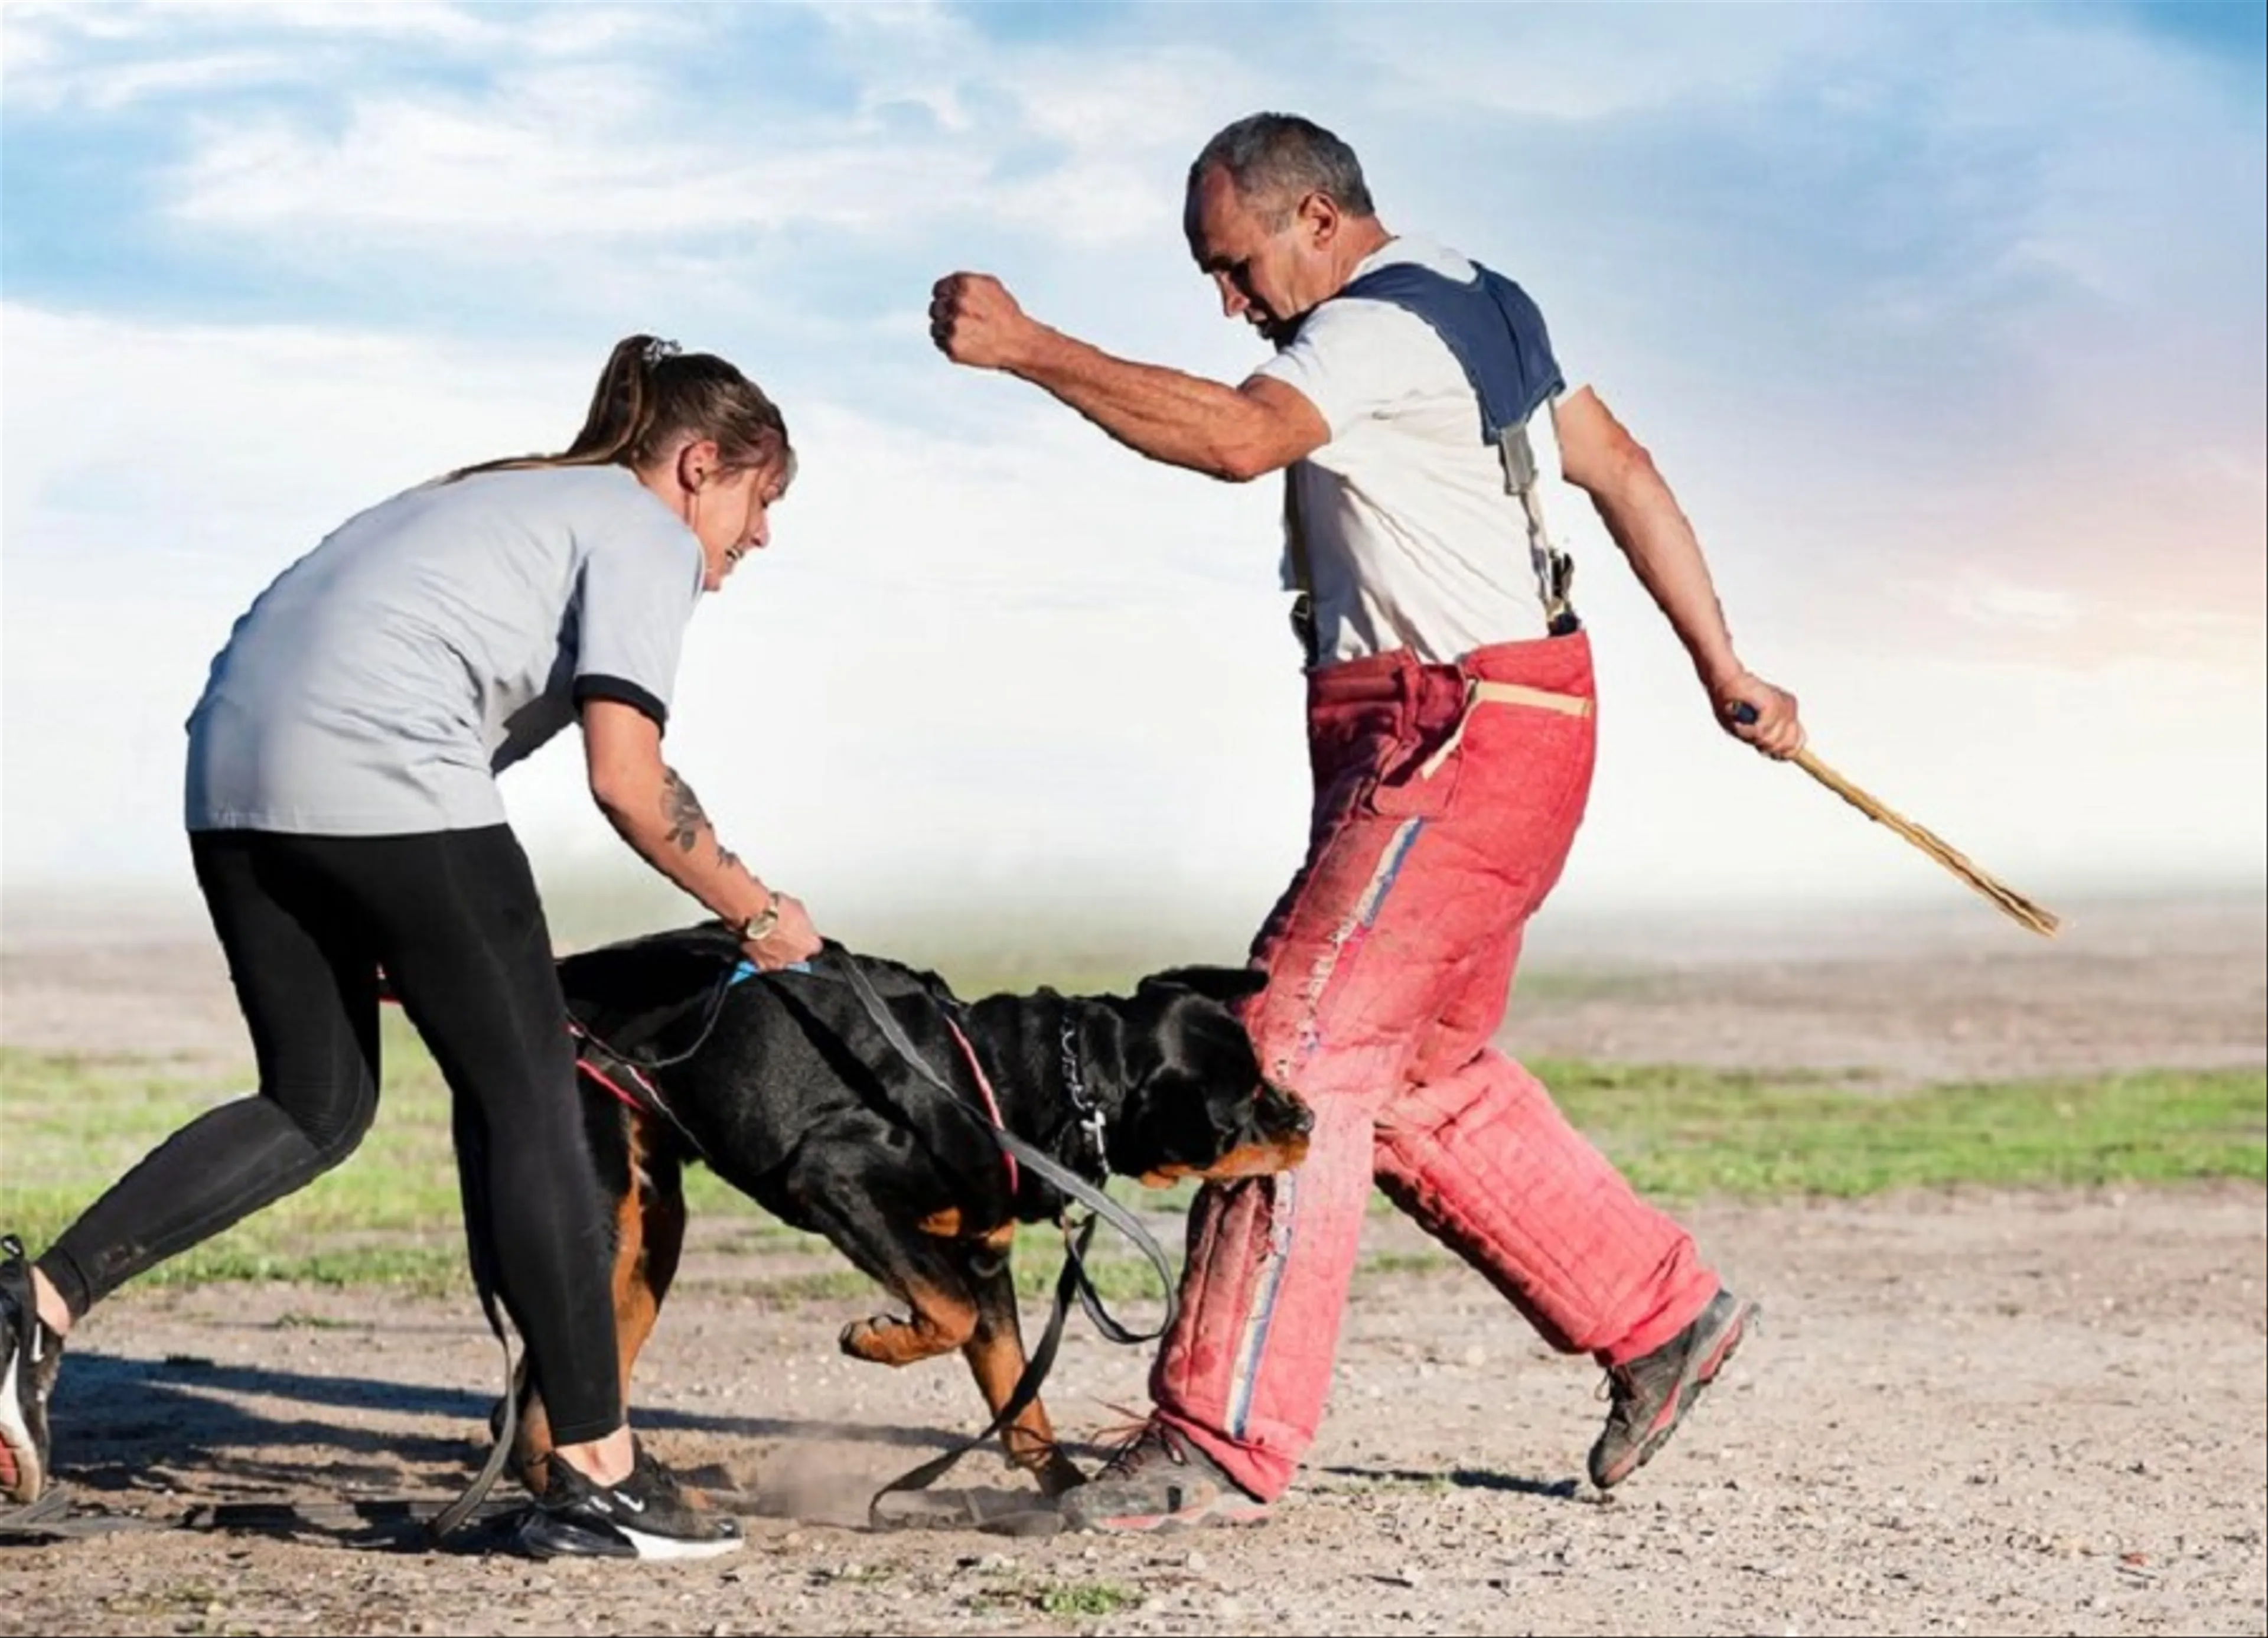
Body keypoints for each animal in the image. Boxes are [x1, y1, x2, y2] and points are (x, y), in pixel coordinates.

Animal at [503, 916, 1306, 1497]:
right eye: (1240, 1113)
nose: (1307, 1118)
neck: (1020, 1088)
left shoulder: (985, 1254)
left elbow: (1018, 1389)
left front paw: (1063, 1489)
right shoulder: (837, 1179)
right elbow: (949, 1315)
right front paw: (874, 1338)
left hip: (654, 1230)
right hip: (605, 1211)